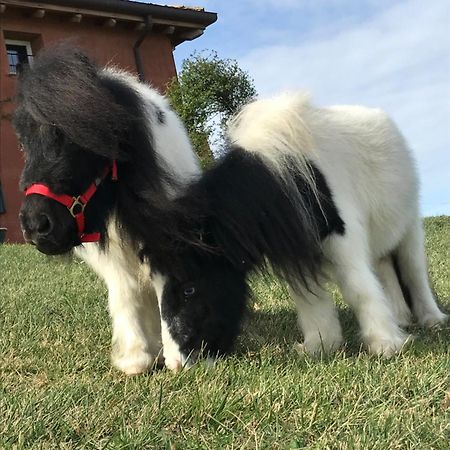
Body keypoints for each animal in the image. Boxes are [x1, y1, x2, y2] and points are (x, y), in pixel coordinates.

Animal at [14, 46, 200, 376]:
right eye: (23, 142)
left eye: (81, 137)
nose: (36, 226)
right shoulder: (112, 256)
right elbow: (124, 294)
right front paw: (136, 358)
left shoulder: (162, 237)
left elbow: (166, 288)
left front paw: (178, 356)